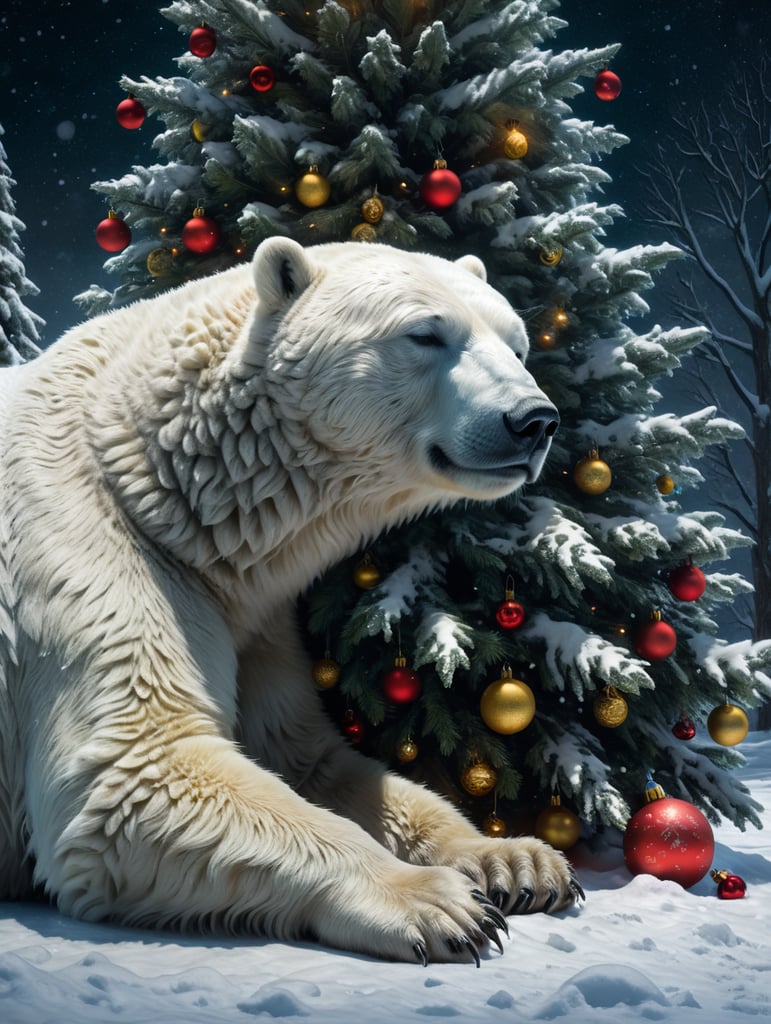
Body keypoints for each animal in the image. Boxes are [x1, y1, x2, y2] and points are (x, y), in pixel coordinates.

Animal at [0, 237, 579, 965]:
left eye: (517, 343)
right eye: (425, 333)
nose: (533, 421)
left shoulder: (255, 618)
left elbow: (308, 756)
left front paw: (515, 860)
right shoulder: (84, 551)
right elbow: (137, 771)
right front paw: (437, 903)